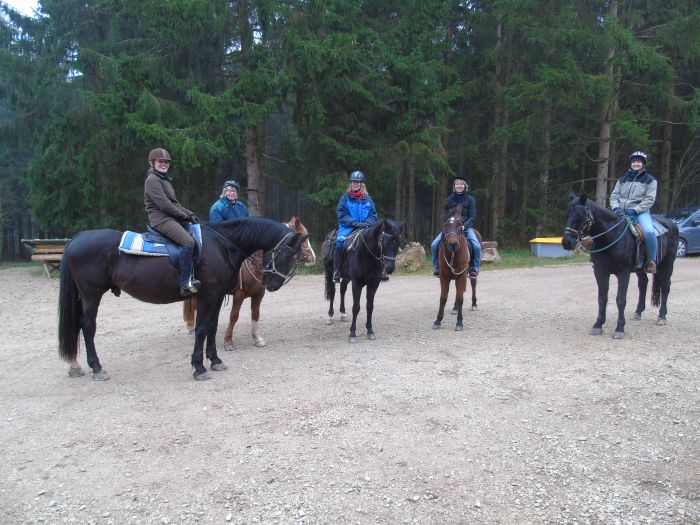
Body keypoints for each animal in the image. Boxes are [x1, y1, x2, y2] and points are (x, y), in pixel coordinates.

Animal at [185, 215, 318, 350]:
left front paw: (257, 338)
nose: (313, 258)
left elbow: (255, 314)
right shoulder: (239, 294)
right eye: (303, 239)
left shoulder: (258, 294)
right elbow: (234, 316)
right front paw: (228, 341)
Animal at [564, 192, 680, 340]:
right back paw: (638, 312)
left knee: (666, 286)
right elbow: (602, 298)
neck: (611, 237)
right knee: (643, 284)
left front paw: (619, 328)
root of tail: (671, 224)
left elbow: (620, 299)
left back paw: (662, 317)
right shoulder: (600, 271)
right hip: (640, 269)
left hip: (667, 264)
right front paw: (598, 325)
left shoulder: (623, 273)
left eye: (580, 215)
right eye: (567, 214)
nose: (566, 242)